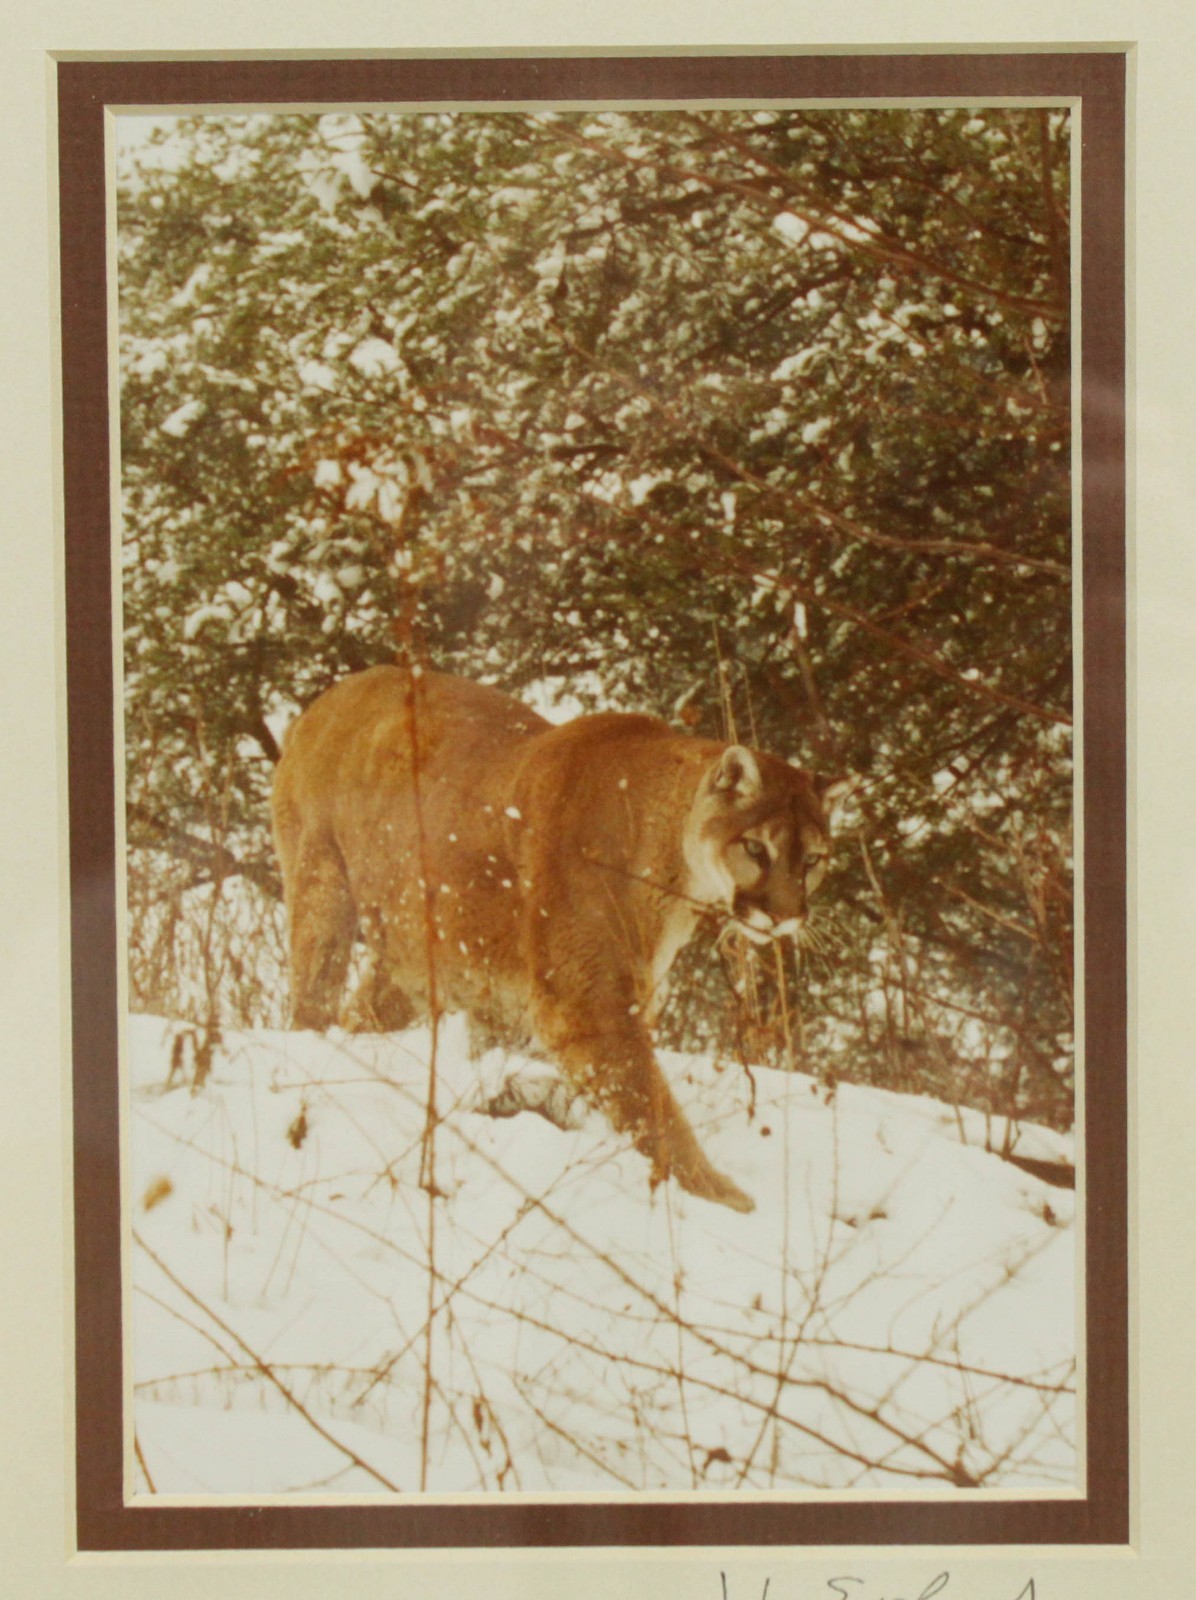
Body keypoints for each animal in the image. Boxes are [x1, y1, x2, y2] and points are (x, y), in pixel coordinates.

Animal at [271, 666, 849, 1213]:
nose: (785, 916)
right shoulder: (585, 1006)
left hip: (416, 952)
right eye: (755, 848)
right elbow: (652, 1106)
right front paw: (719, 1196)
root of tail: (323, 701)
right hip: (323, 895)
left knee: (360, 1014)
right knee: (311, 1004)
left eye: (813, 860)